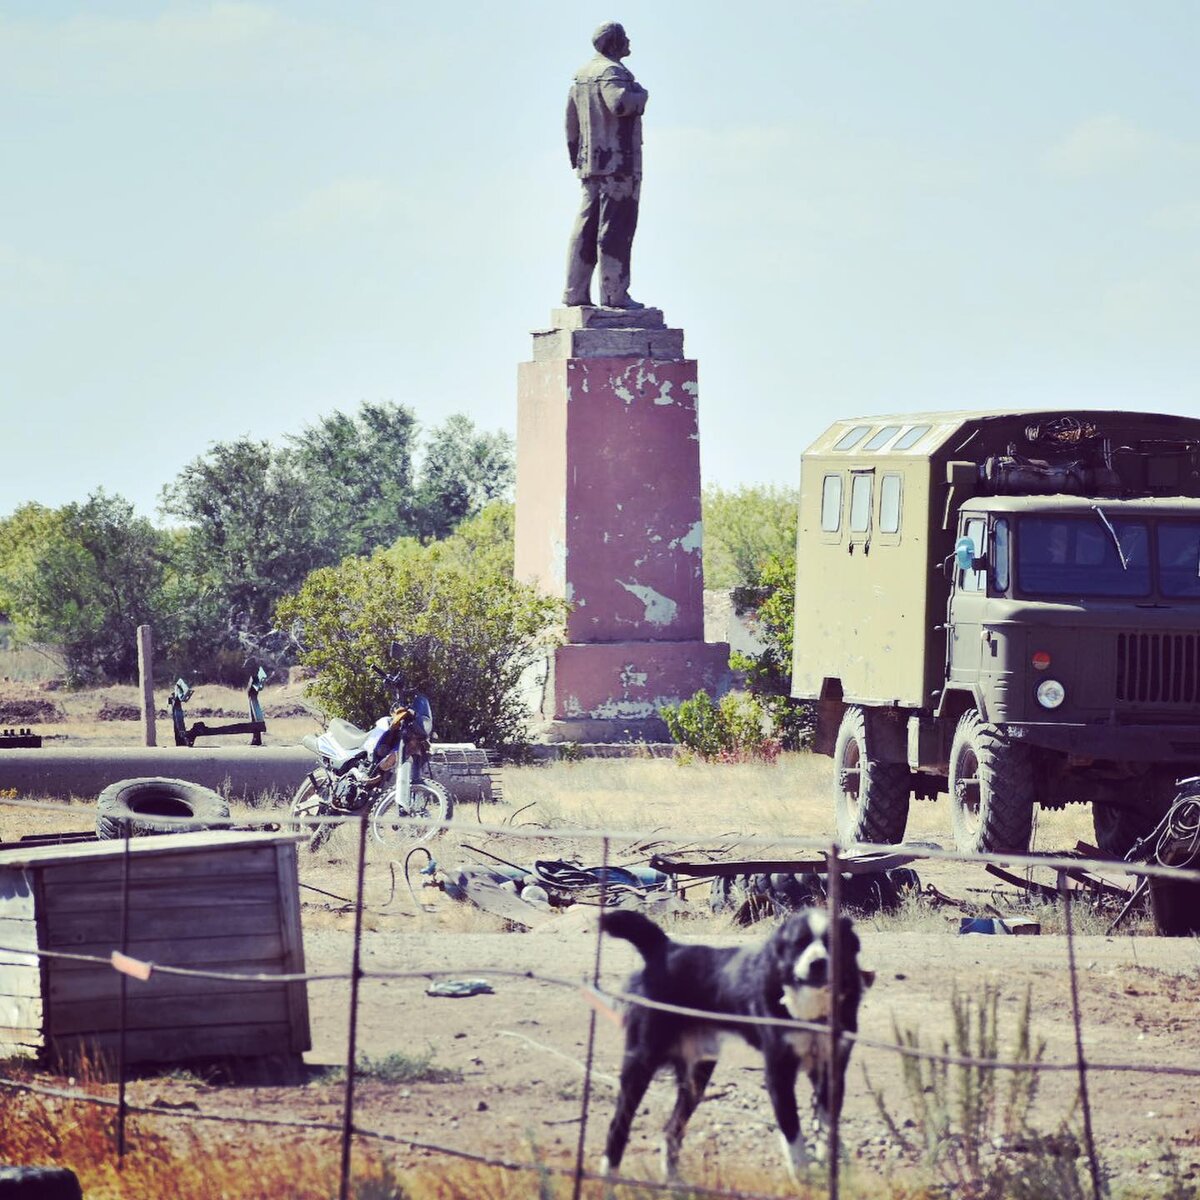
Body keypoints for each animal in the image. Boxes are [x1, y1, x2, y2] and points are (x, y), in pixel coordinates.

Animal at [600, 907, 873, 1180]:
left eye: (833, 942)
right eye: (799, 943)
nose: (817, 963)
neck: (812, 1011)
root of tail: (665, 948)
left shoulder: (832, 1070)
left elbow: (827, 1129)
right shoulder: (779, 1073)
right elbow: (793, 1134)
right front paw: (803, 1179)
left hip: (697, 1075)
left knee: (671, 1129)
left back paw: (673, 1181)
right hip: (642, 1061)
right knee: (617, 1126)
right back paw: (609, 1178)